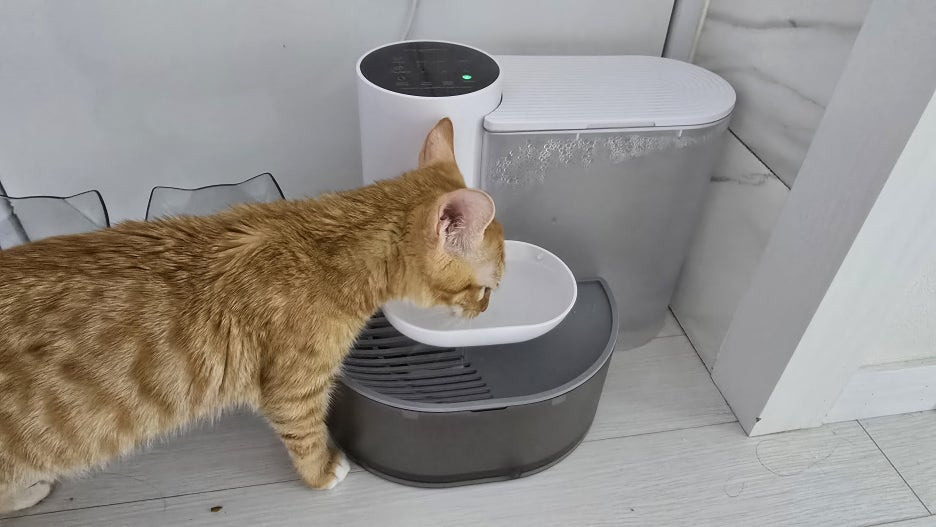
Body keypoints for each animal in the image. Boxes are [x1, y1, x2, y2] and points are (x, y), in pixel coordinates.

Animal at [0, 118, 505, 512]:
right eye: (486, 287)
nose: (486, 308)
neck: (328, 246)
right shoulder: (295, 391)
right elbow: (306, 437)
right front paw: (323, 472)